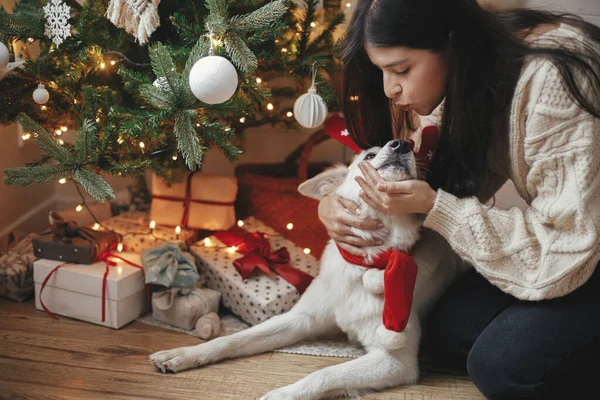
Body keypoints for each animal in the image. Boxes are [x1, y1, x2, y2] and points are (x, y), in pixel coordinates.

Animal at [149, 139, 460, 398]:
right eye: (369, 155)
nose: (403, 144)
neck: (365, 264)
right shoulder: (302, 318)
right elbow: (233, 339)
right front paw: (185, 353)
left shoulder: (395, 359)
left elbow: (324, 374)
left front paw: (282, 395)